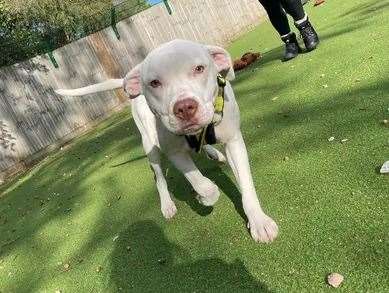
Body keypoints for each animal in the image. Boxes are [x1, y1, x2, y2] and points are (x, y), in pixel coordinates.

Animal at [56, 38, 278, 242]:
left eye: (199, 68)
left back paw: (213, 153)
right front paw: (205, 197)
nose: (184, 107)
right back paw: (167, 204)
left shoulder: (234, 142)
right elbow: (201, 183)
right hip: (150, 146)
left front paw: (259, 221)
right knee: (159, 177)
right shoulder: (175, 153)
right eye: (155, 83)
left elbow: (247, 186)